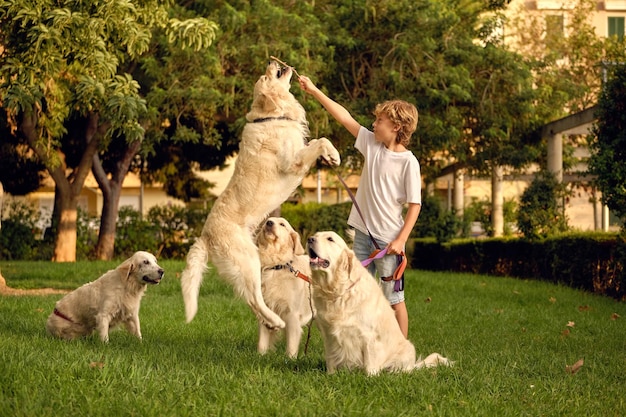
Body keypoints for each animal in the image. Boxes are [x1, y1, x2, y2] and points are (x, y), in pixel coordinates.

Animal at [178, 61, 338, 328]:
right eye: (265, 76)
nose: (272, 62)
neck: (269, 117)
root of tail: (205, 235)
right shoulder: (293, 162)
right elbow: (321, 140)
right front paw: (332, 153)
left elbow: (317, 140)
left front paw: (330, 155)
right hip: (248, 260)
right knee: (254, 297)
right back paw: (277, 321)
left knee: (249, 298)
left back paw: (271, 322)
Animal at [254, 216, 312, 356]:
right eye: (267, 221)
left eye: (282, 224)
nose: (269, 223)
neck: (276, 266)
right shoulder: (266, 311)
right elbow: (262, 342)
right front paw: (261, 355)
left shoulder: (292, 314)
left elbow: (291, 345)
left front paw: (290, 358)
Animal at [306, 231, 448, 374]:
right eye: (316, 235)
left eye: (330, 239)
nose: (310, 239)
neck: (337, 291)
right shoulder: (328, 335)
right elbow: (331, 358)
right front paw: (330, 374)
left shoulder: (369, 336)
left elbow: (370, 363)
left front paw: (370, 377)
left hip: (407, 349)